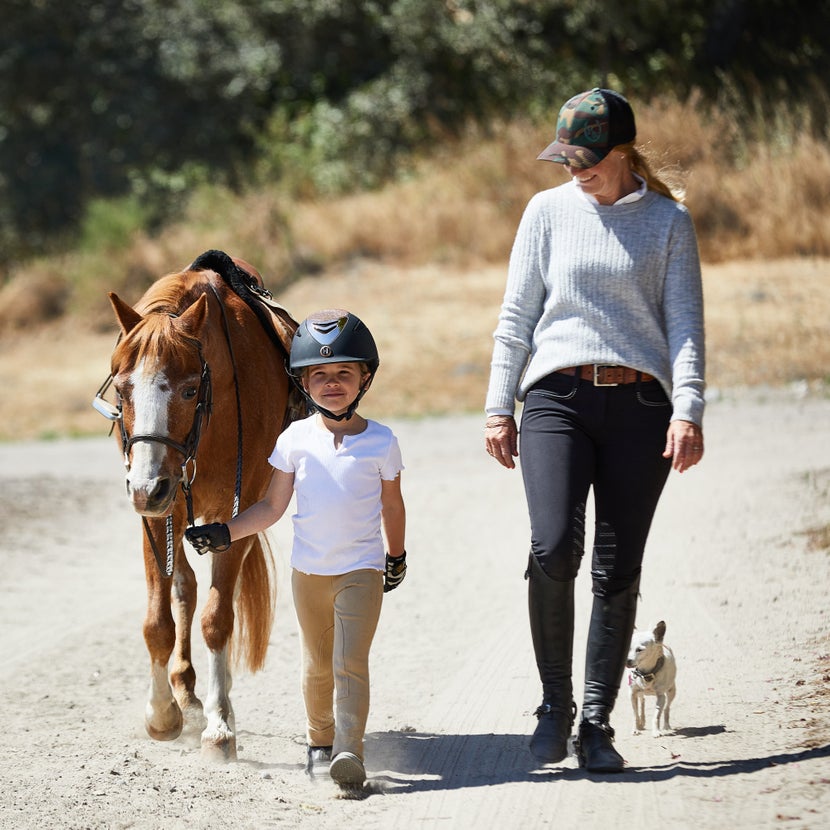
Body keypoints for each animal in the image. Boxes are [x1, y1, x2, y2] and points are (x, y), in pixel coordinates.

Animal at [96, 252, 300, 760]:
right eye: (122, 391)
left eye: (190, 390)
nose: (146, 486)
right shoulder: (157, 512)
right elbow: (158, 622)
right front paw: (162, 713)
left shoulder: (236, 514)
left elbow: (217, 619)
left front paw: (219, 725)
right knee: (184, 588)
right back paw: (186, 692)